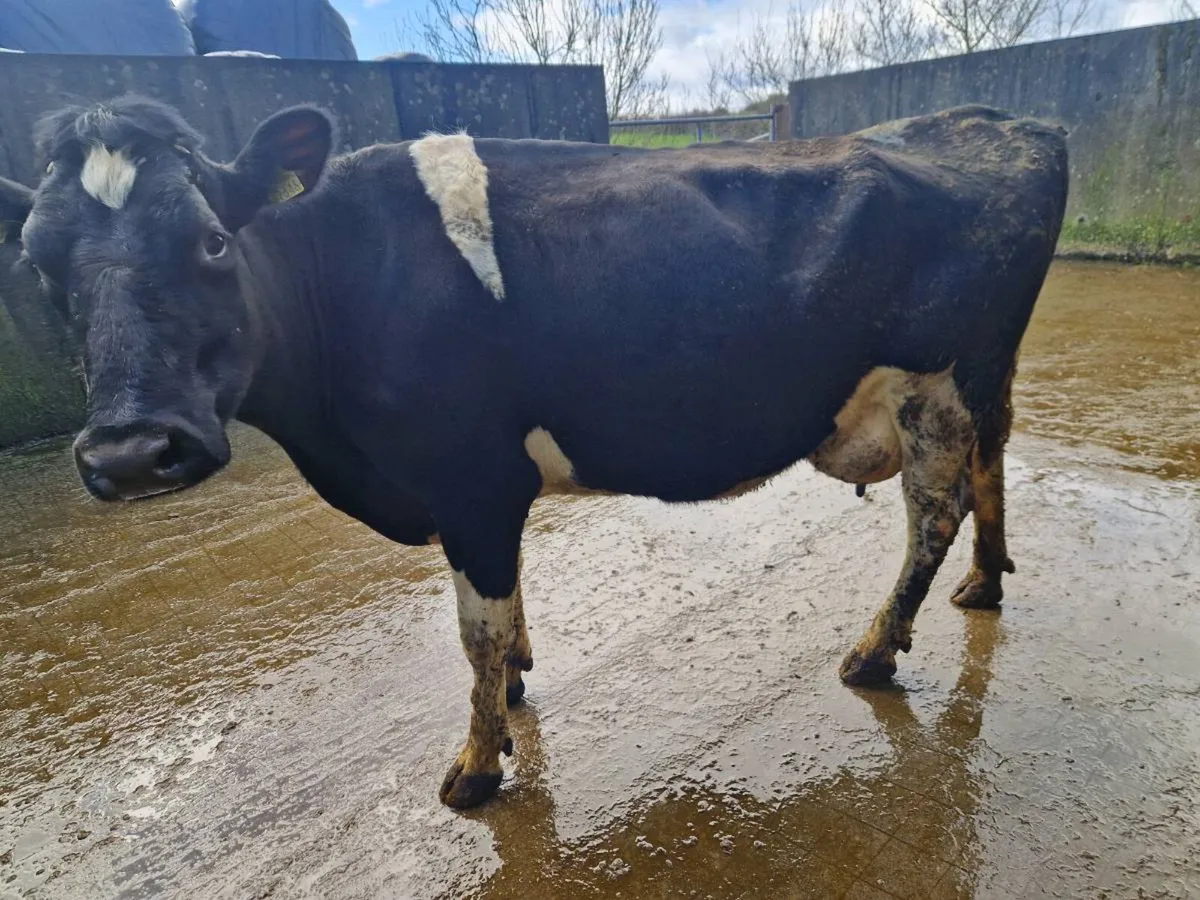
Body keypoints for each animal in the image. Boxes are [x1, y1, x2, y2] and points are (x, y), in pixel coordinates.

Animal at [6, 95, 1068, 809]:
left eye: (214, 242)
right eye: (37, 264)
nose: (133, 452)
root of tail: (1001, 122)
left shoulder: (472, 480)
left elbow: (474, 626)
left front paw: (476, 766)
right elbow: (503, 611)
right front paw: (515, 682)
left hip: (938, 378)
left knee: (933, 513)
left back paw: (874, 651)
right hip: (981, 378)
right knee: (991, 465)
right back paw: (985, 586)